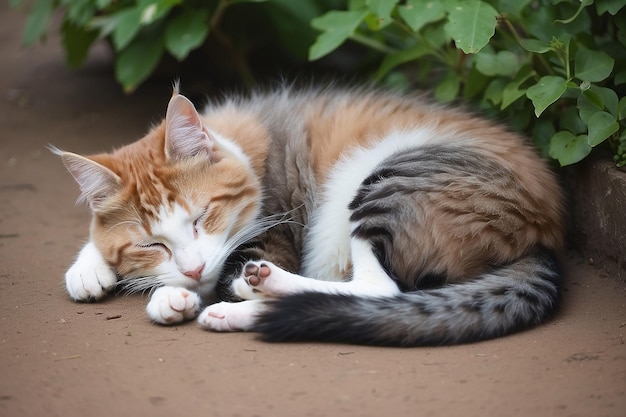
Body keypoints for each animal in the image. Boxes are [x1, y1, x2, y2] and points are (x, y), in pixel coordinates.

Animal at [53, 83, 560, 346]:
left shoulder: (276, 228)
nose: (192, 269)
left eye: (202, 217)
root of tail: (544, 230)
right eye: (151, 243)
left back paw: (258, 291)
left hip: (388, 178)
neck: (243, 146)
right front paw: (90, 267)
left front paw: (175, 296)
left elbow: (223, 273)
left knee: (376, 290)